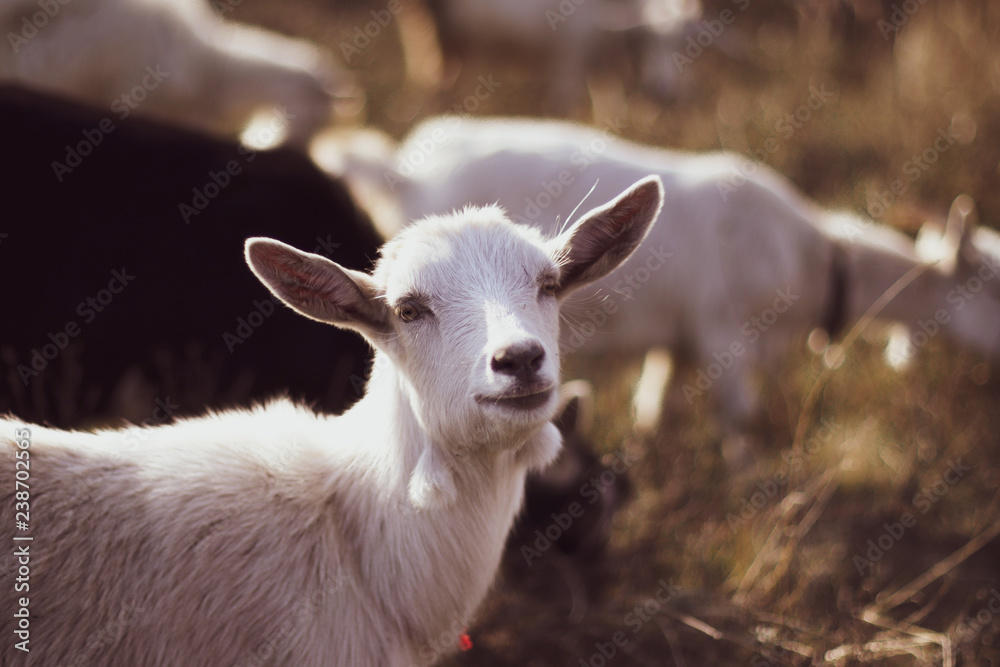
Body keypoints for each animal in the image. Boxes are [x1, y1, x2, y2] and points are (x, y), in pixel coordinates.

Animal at [327, 116, 1000, 439]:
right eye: (992, 285)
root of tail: (400, 170)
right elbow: (739, 422)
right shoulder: (728, 335)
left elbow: (657, 403)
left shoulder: (681, 339)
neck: (811, 259)